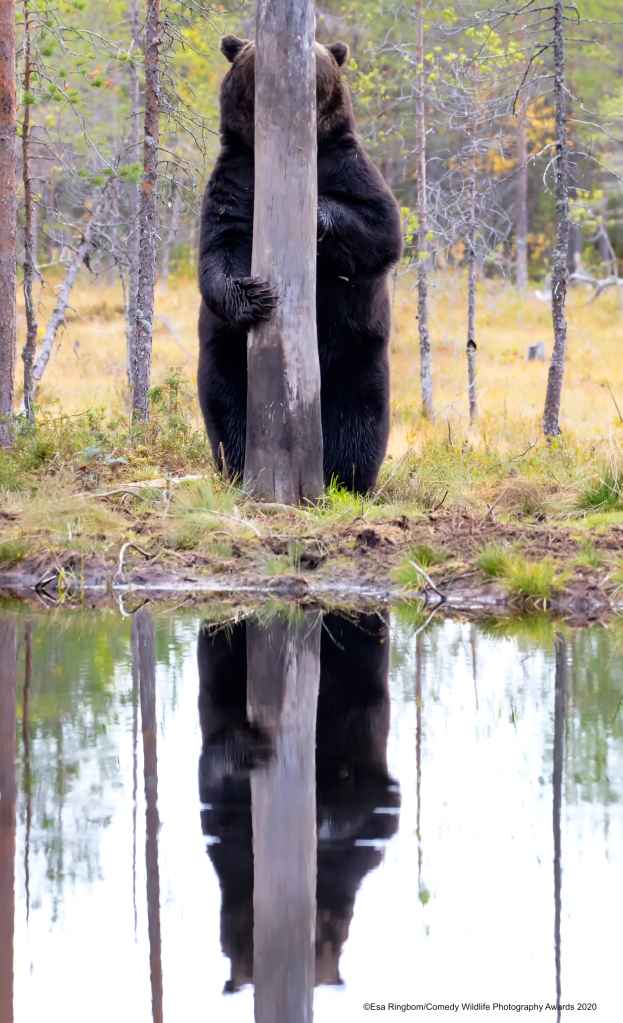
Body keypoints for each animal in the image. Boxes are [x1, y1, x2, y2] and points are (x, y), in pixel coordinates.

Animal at [197, 35, 403, 493]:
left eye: (317, 52)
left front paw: (317, 213)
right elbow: (219, 247)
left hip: (357, 352)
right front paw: (254, 295)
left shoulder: (347, 165)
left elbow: (380, 227)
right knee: (227, 407)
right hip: (227, 356)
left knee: (359, 417)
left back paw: (348, 479)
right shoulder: (237, 177)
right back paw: (239, 466)